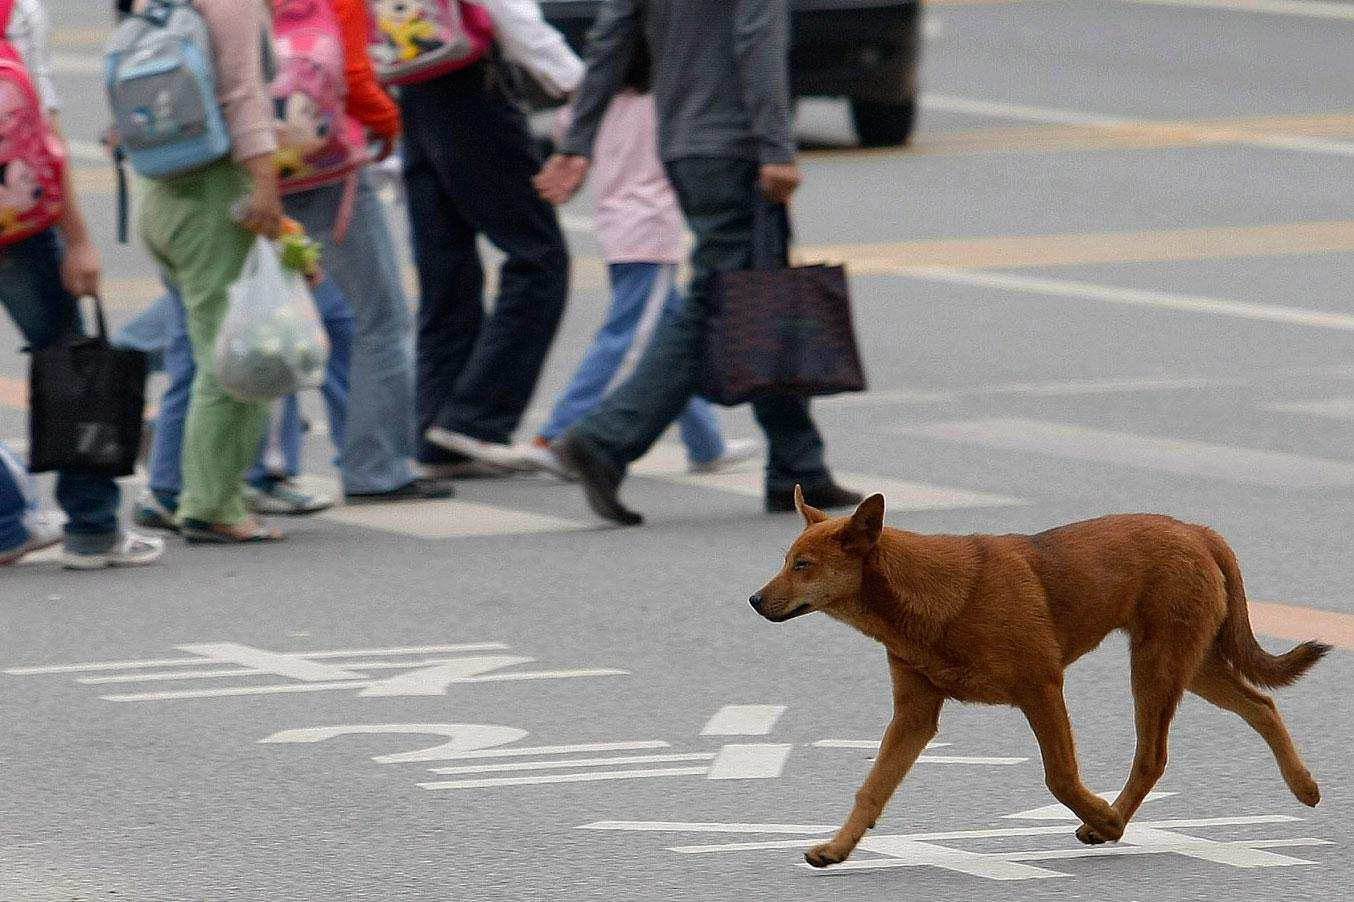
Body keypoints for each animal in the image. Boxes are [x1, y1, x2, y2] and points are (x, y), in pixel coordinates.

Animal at [752, 487, 1332, 866]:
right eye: (785, 560)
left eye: (802, 565)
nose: (754, 600)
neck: (927, 598)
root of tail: (1197, 530)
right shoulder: (914, 715)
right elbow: (871, 789)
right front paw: (837, 848)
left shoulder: (1042, 687)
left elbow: (1061, 778)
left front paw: (1105, 820)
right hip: (1192, 666)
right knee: (1261, 705)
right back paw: (1304, 787)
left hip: (1157, 666)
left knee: (1154, 755)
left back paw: (1112, 822)